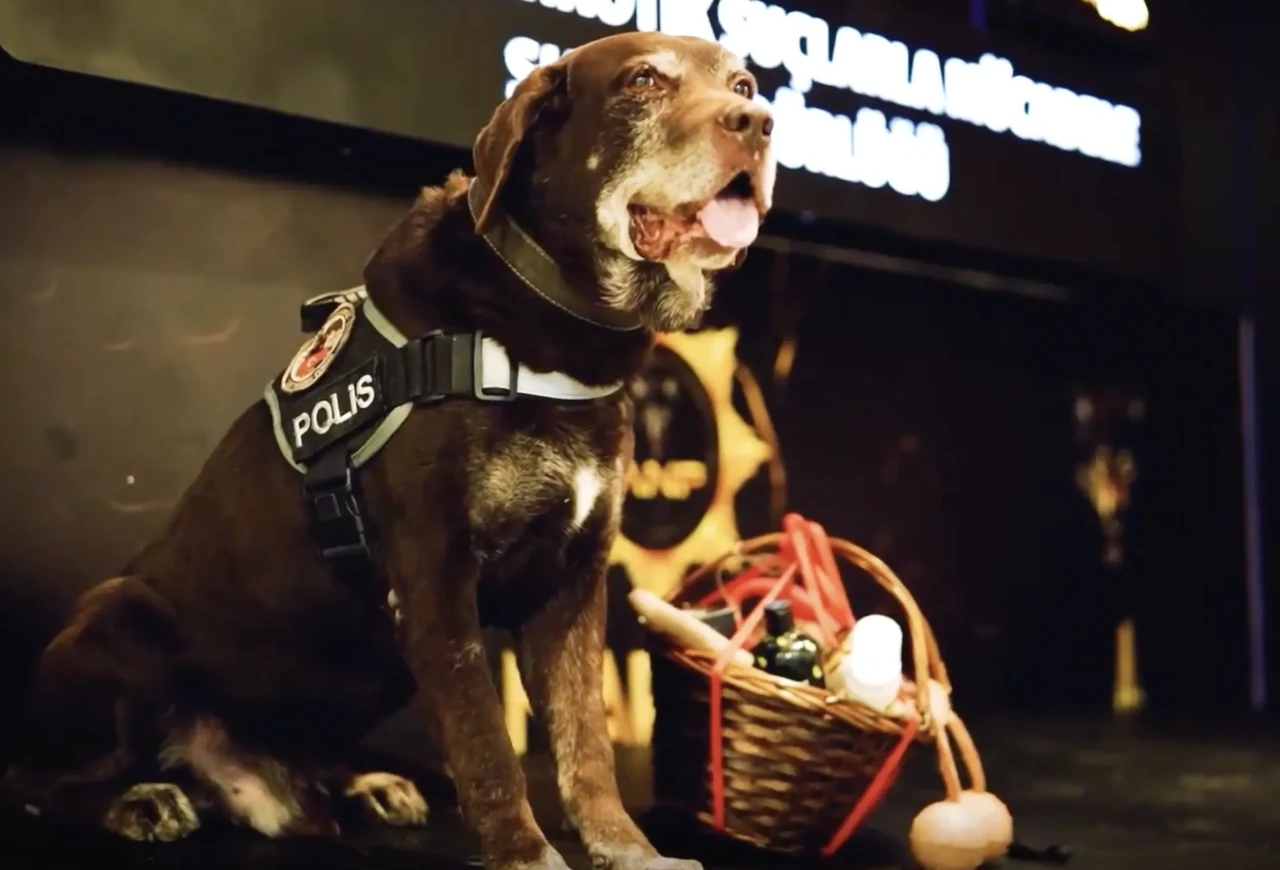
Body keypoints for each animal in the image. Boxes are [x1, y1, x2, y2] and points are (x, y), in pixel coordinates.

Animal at [2, 30, 768, 864]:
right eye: (642, 81)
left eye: (743, 84)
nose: (759, 123)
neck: (551, 335)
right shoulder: (436, 583)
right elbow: (488, 748)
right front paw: (527, 853)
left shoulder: (571, 587)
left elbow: (585, 747)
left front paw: (628, 850)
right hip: (121, 615)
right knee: (34, 780)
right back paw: (137, 799)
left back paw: (361, 784)